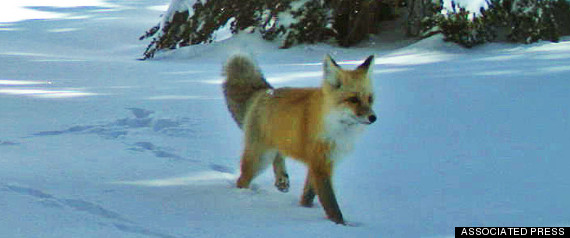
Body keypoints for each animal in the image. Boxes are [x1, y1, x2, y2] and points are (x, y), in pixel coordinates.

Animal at [223, 54, 378, 225]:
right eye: (353, 99)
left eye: (370, 99)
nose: (373, 118)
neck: (336, 128)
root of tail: (265, 91)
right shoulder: (320, 164)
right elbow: (331, 204)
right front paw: (341, 225)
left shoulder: (322, 161)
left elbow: (308, 195)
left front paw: (304, 209)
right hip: (260, 158)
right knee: (242, 180)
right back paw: (243, 197)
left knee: (279, 155)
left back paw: (281, 179)